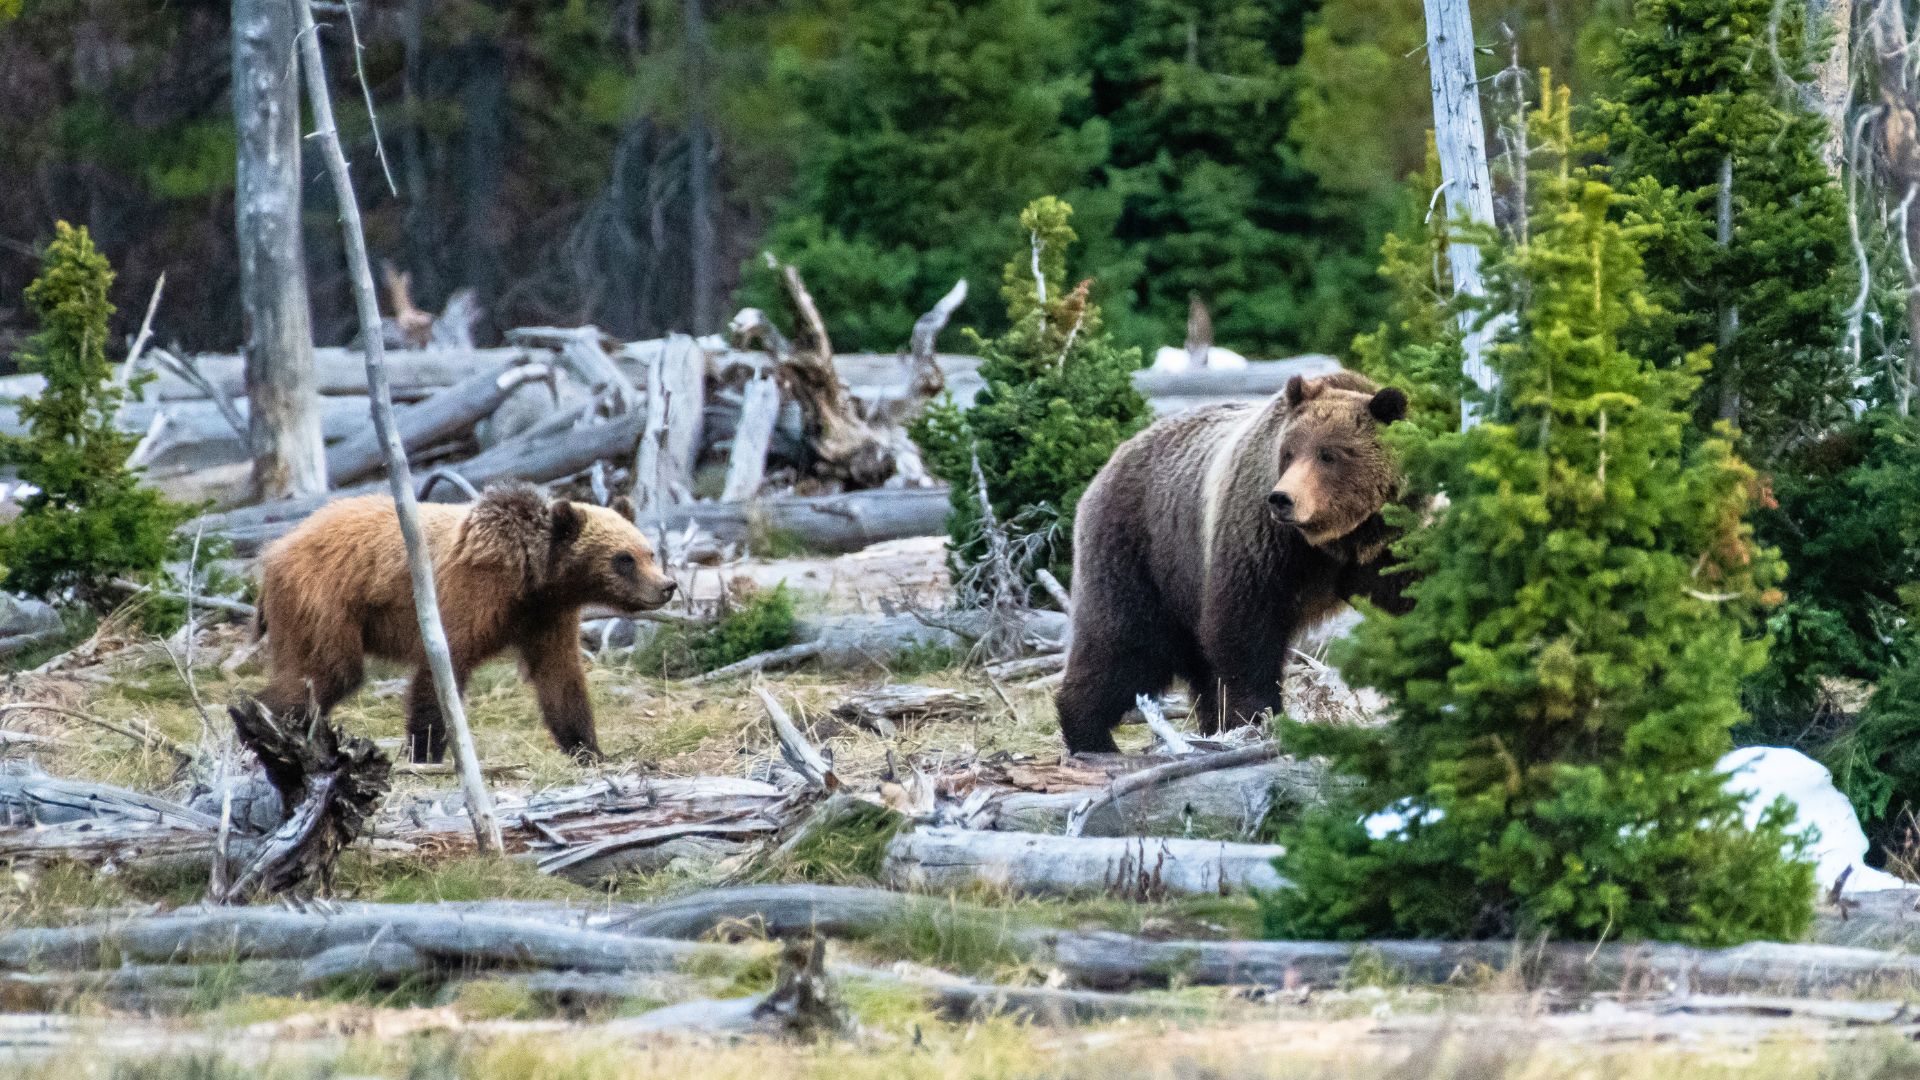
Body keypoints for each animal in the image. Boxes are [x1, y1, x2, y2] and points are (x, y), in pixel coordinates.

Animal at [254, 484, 677, 763]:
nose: (667, 586)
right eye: (623, 559)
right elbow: (440, 676)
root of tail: (274, 550)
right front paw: (425, 753)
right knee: (327, 672)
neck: (529, 578)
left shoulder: (546, 618)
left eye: (648, 552)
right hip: (323, 601)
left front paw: (590, 749)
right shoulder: (466, 599)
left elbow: (560, 680)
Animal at [1055, 371, 1414, 754]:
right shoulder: (1261, 540)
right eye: (1289, 452)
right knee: (1123, 646)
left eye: (1329, 454)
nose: (1283, 499)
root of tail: (1109, 463)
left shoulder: (1388, 543)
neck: (1334, 541)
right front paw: (1257, 717)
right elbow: (1245, 630)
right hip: (1142, 553)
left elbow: (1408, 600)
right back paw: (1091, 736)